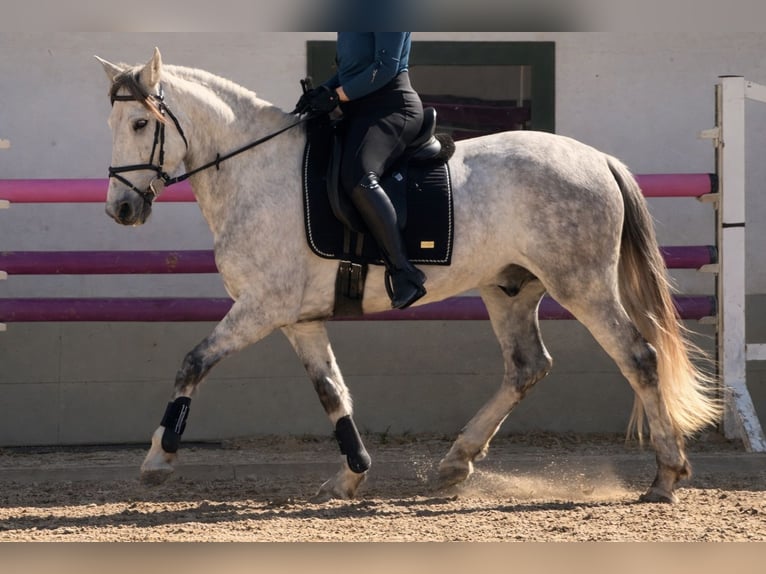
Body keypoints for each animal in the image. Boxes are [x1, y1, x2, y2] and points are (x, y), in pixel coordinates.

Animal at [95, 47, 720, 503]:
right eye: (114, 123)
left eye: (139, 122)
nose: (121, 209)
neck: (256, 170)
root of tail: (597, 159)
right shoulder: (296, 317)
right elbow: (331, 391)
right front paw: (352, 474)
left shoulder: (261, 307)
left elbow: (193, 362)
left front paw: (159, 458)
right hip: (510, 289)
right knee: (527, 367)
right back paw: (455, 462)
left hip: (582, 285)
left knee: (639, 358)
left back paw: (665, 476)